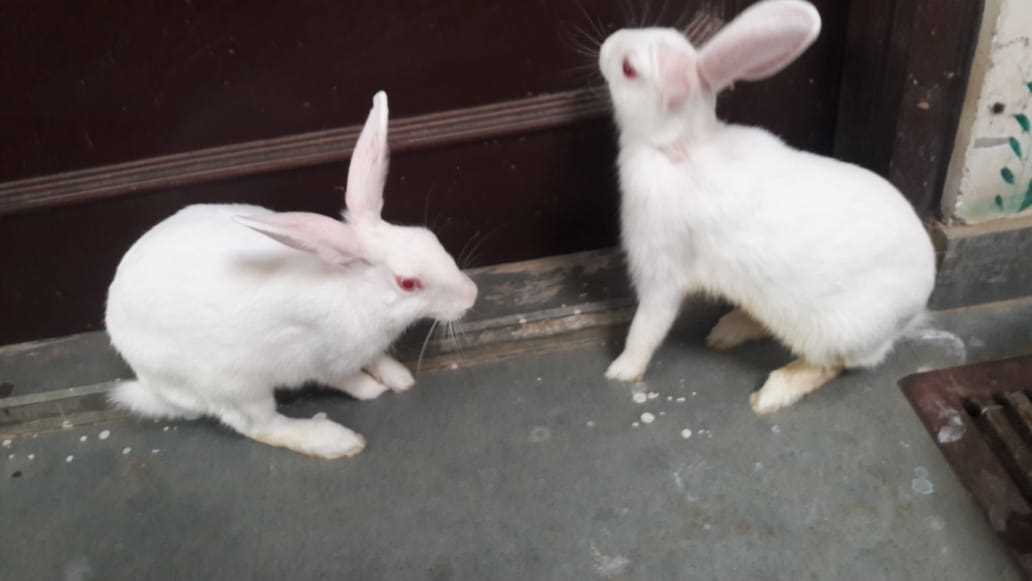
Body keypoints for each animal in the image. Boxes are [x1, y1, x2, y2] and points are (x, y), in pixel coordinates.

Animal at [105, 92, 478, 459]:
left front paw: (399, 377)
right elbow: (348, 381)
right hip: (235, 386)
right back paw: (334, 441)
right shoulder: (323, 361)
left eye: (428, 236)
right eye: (408, 283)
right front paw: (373, 390)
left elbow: (377, 359)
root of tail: (150, 384)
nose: (471, 294)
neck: (356, 292)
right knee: (259, 426)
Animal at [597, 0, 936, 414]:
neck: (679, 147)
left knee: (830, 365)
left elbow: (647, 325)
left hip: (831, 330)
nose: (607, 44)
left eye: (628, 69)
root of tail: (914, 307)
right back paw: (728, 330)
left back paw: (773, 392)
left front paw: (621, 370)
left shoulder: (661, 269)